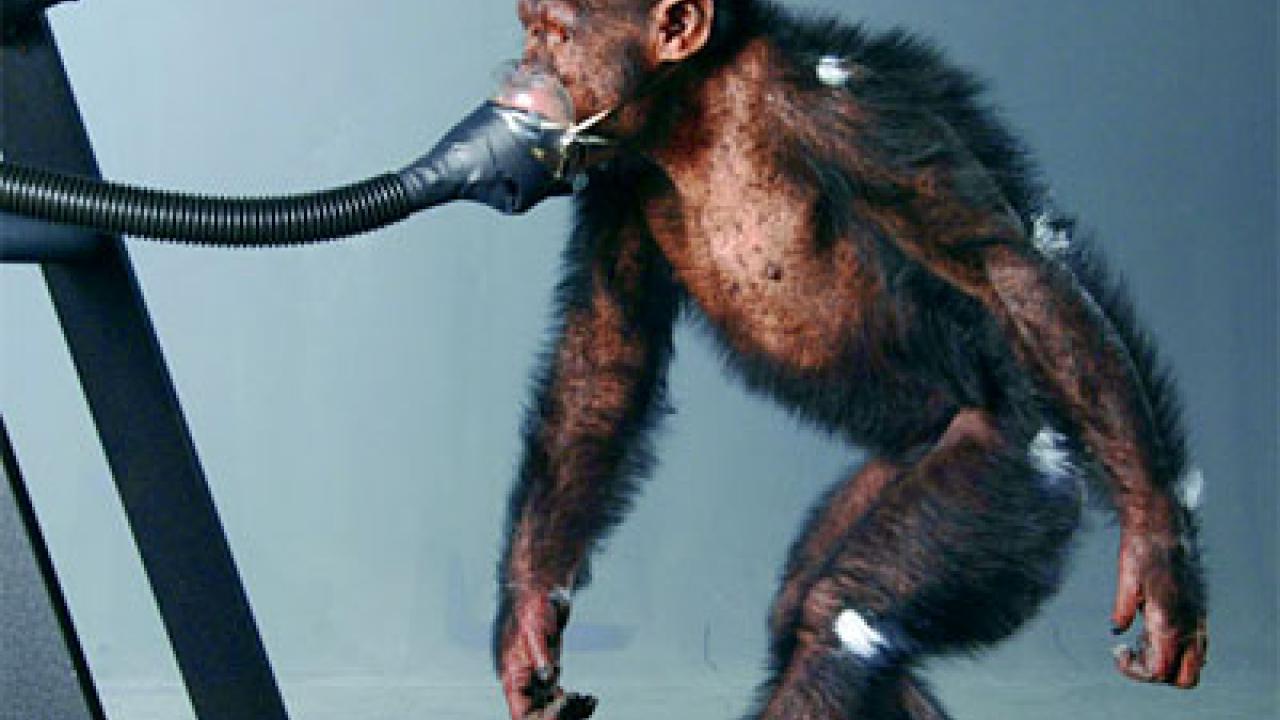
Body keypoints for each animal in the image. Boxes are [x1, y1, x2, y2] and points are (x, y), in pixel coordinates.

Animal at [490, 1, 1209, 718]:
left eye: (554, 34)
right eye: (533, 30)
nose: (525, 67)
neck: (697, 110)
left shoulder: (853, 116)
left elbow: (1007, 268)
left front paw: (1158, 555)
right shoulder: (612, 179)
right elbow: (605, 360)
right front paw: (528, 624)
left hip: (1018, 470)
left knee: (842, 615)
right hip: (904, 465)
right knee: (808, 610)